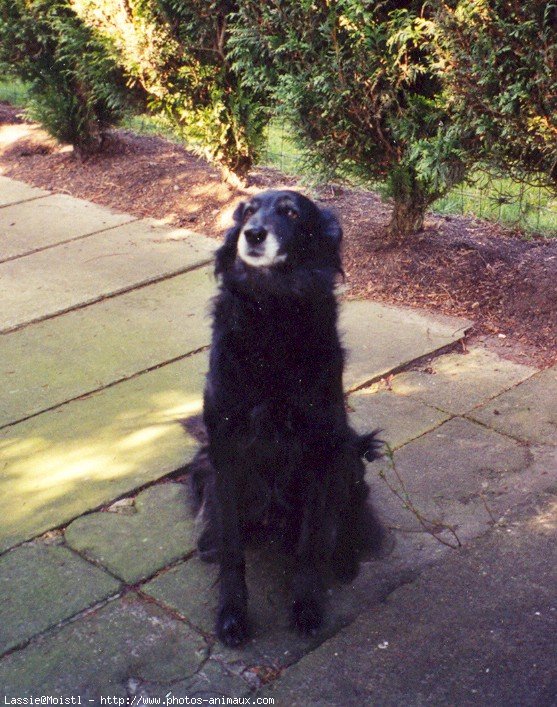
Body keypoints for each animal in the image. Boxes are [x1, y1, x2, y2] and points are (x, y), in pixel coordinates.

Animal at [191, 188, 382, 648]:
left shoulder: (318, 450)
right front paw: (232, 615)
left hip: (344, 454)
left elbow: (310, 544)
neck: (272, 311)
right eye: (246, 211)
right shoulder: (225, 450)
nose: (253, 233)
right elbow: (233, 551)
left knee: (347, 512)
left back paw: (345, 558)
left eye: (291, 213)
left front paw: (307, 605)